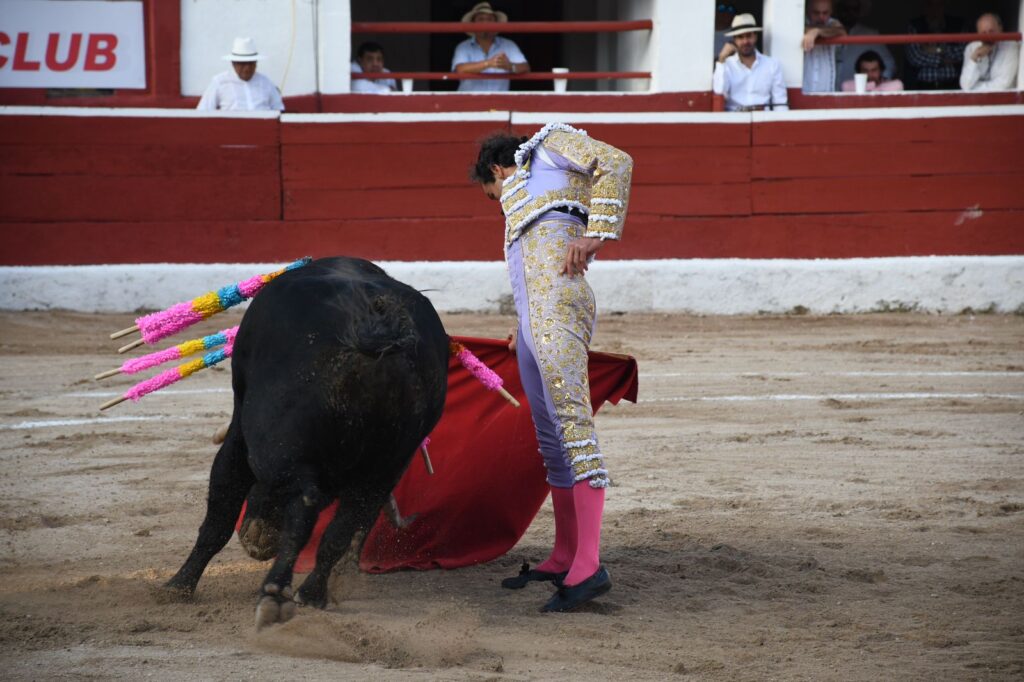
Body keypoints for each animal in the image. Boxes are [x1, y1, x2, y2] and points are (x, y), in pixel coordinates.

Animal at [160, 254, 448, 622]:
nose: (258, 544)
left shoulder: (239, 436)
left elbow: (219, 513)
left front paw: (177, 587)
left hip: (277, 447)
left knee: (304, 504)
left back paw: (274, 590)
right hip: (386, 466)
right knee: (341, 528)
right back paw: (311, 594)